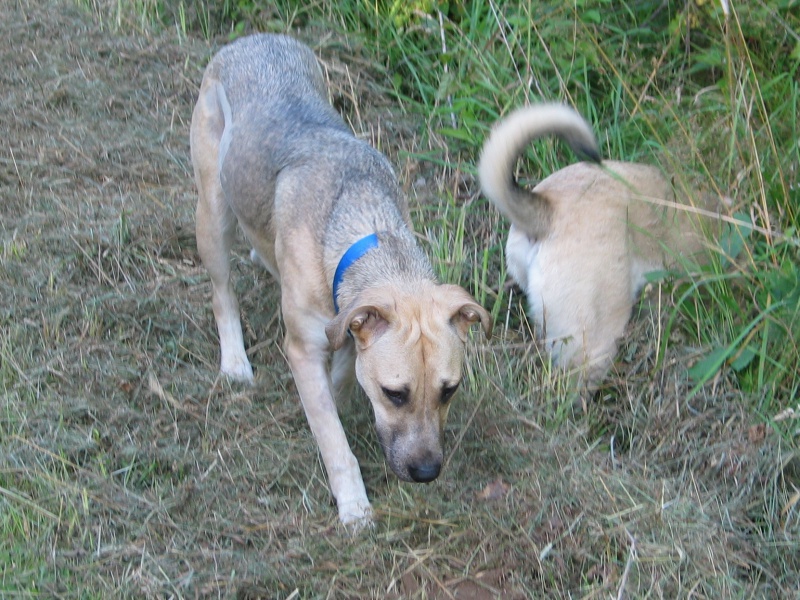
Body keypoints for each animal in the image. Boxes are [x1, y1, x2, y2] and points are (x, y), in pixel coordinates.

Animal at [192, 35, 494, 528]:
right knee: (223, 294)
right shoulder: (305, 348)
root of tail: (255, 39)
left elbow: (339, 386)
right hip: (212, 212)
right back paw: (235, 360)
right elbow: (334, 441)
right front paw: (354, 505)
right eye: (395, 394)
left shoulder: (350, 330)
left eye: (449, 390)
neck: (366, 230)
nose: (427, 472)